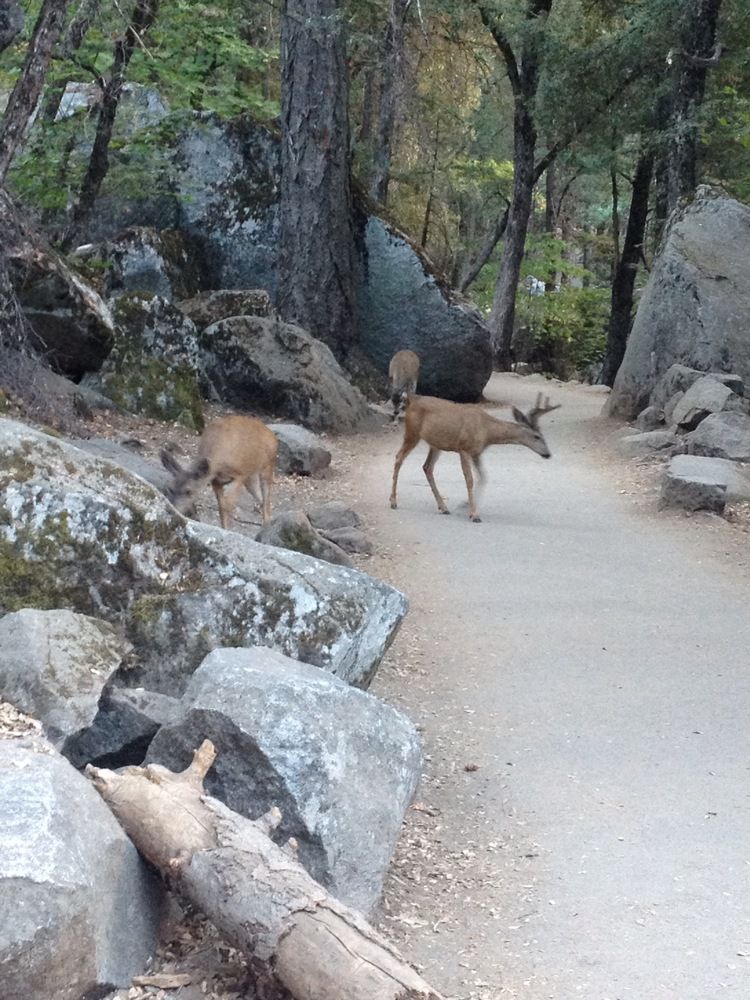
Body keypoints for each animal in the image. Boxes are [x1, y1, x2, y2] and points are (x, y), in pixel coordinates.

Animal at [389, 392, 560, 523]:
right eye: (537, 436)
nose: (548, 454)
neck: (487, 431)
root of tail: (411, 399)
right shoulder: (464, 448)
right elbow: (469, 480)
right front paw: (474, 514)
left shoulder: (477, 452)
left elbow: (483, 477)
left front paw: (465, 504)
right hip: (412, 433)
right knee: (399, 458)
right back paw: (393, 502)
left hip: (436, 443)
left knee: (427, 467)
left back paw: (443, 507)